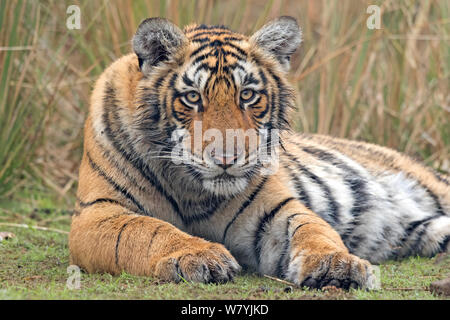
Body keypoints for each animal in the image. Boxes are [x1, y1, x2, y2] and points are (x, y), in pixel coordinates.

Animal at [69, 15, 450, 290]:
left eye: (248, 95)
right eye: (192, 97)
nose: (227, 159)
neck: (190, 188)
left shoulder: (274, 210)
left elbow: (313, 231)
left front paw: (336, 264)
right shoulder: (96, 214)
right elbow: (147, 231)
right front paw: (200, 255)